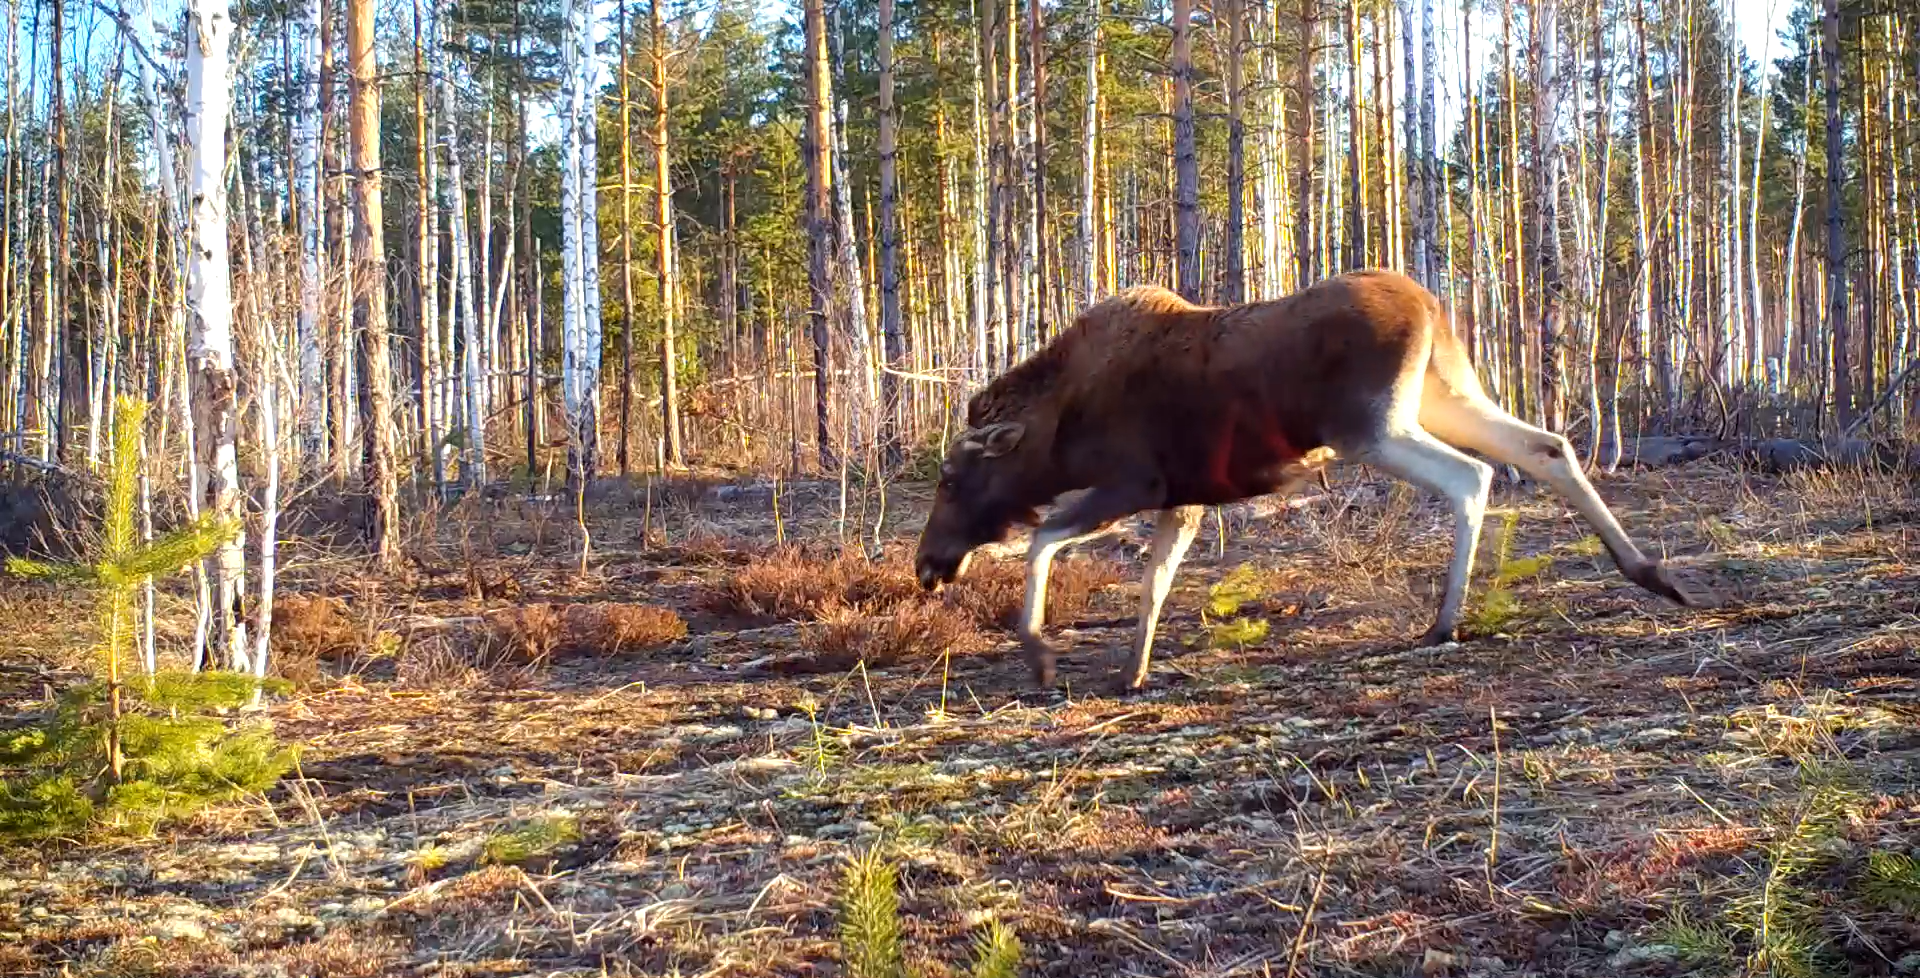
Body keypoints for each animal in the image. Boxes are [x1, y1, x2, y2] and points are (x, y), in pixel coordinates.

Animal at [910, 270, 1697, 691]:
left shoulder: (1134, 483)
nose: (925, 565)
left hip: (1374, 427)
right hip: (1443, 393)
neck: (1055, 437)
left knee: (1473, 476)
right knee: (1546, 447)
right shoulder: (1183, 500)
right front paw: (1133, 670)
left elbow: (1042, 540)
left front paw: (1040, 656)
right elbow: (1155, 583)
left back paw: (1444, 620)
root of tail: (1431, 304)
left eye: (950, 478)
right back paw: (1649, 572)